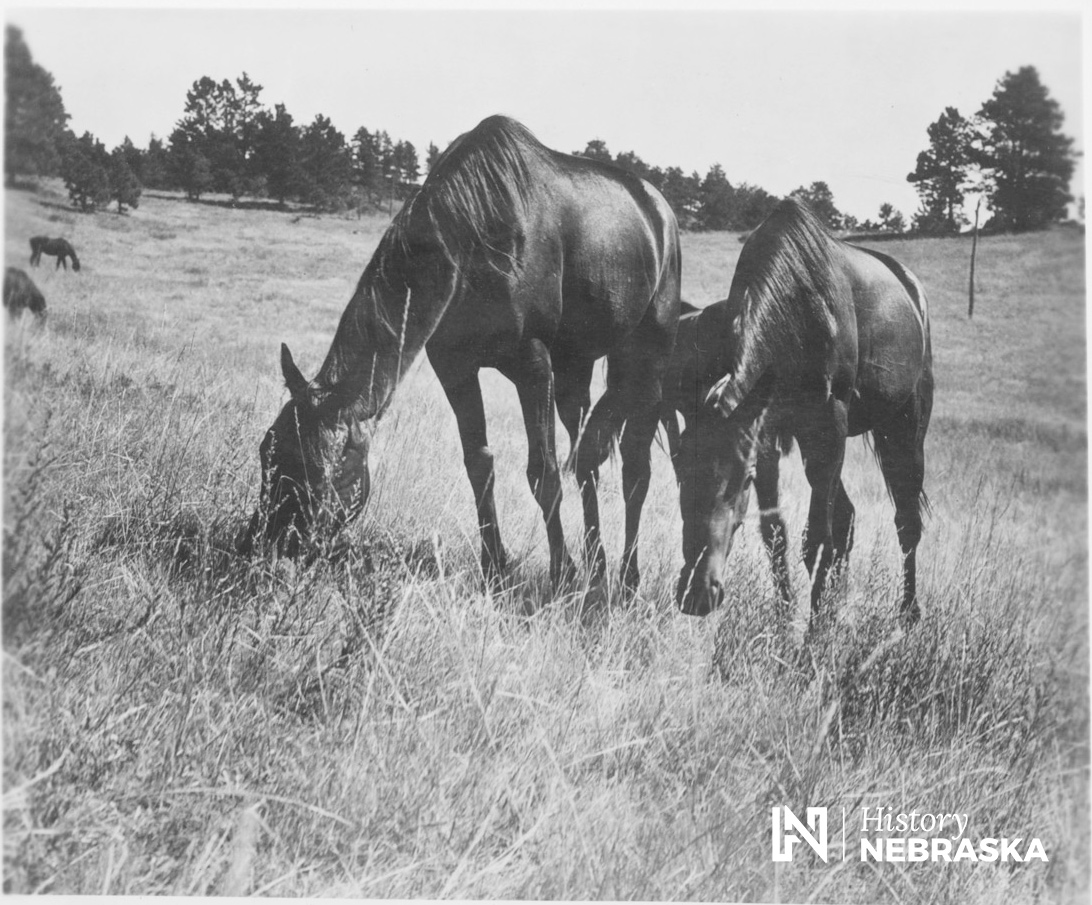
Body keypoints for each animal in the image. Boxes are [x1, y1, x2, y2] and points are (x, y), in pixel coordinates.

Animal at [242, 112, 677, 593]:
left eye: (318, 470)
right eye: (267, 450)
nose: (260, 544)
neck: (473, 237)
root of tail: (660, 210)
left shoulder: (533, 365)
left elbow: (543, 472)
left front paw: (562, 572)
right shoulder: (455, 367)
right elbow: (479, 464)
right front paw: (496, 567)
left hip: (645, 362)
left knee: (634, 470)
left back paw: (626, 577)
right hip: (574, 367)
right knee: (586, 459)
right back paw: (598, 568)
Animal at [672, 196, 930, 620]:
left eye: (744, 479)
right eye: (679, 468)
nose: (697, 594)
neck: (797, 311)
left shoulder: (829, 424)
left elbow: (818, 541)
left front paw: (811, 630)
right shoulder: (767, 431)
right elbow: (776, 533)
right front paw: (787, 615)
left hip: (904, 427)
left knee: (907, 522)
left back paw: (908, 614)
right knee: (848, 519)